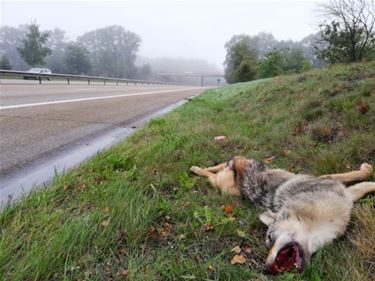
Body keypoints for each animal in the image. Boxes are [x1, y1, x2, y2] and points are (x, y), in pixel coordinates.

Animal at [192, 156, 374, 274]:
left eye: (269, 238)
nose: (265, 270)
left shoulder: (344, 193)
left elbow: (363, 179)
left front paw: (367, 170)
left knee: (219, 166)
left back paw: (199, 168)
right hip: (225, 188)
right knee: (213, 173)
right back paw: (197, 169)